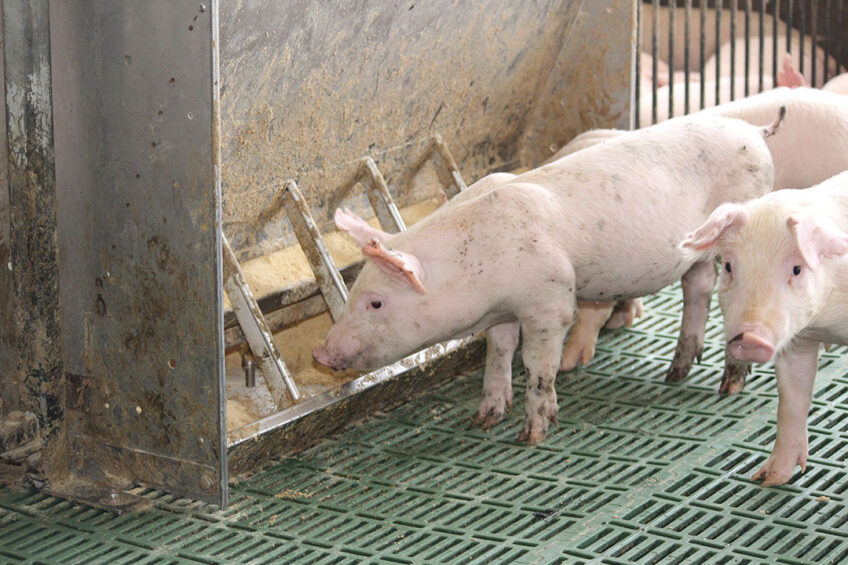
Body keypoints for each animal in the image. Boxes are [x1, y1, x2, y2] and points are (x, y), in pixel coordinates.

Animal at [314, 112, 780, 442]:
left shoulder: (549, 301)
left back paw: (728, 387)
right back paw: (676, 373)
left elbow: (537, 365)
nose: (322, 354)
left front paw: (532, 435)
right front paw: (483, 420)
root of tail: (756, 131)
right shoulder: (503, 313)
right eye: (354, 291)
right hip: (696, 254)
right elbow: (498, 354)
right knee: (697, 288)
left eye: (376, 302)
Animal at [680, 171, 848, 484]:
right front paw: (767, 479)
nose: (750, 338)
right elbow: (791, 402)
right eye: (729, 266)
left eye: (797, 269)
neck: (828, 321)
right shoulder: (797, 342)